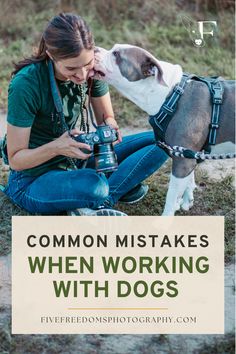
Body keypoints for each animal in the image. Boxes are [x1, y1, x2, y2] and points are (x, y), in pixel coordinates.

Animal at [93, 44, 235, 216]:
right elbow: (189, 180)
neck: (169, 95)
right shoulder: (186, 154)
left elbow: (171, 197)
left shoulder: (183, 161)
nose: (93, 49)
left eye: (116, 54)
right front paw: (186, 200)